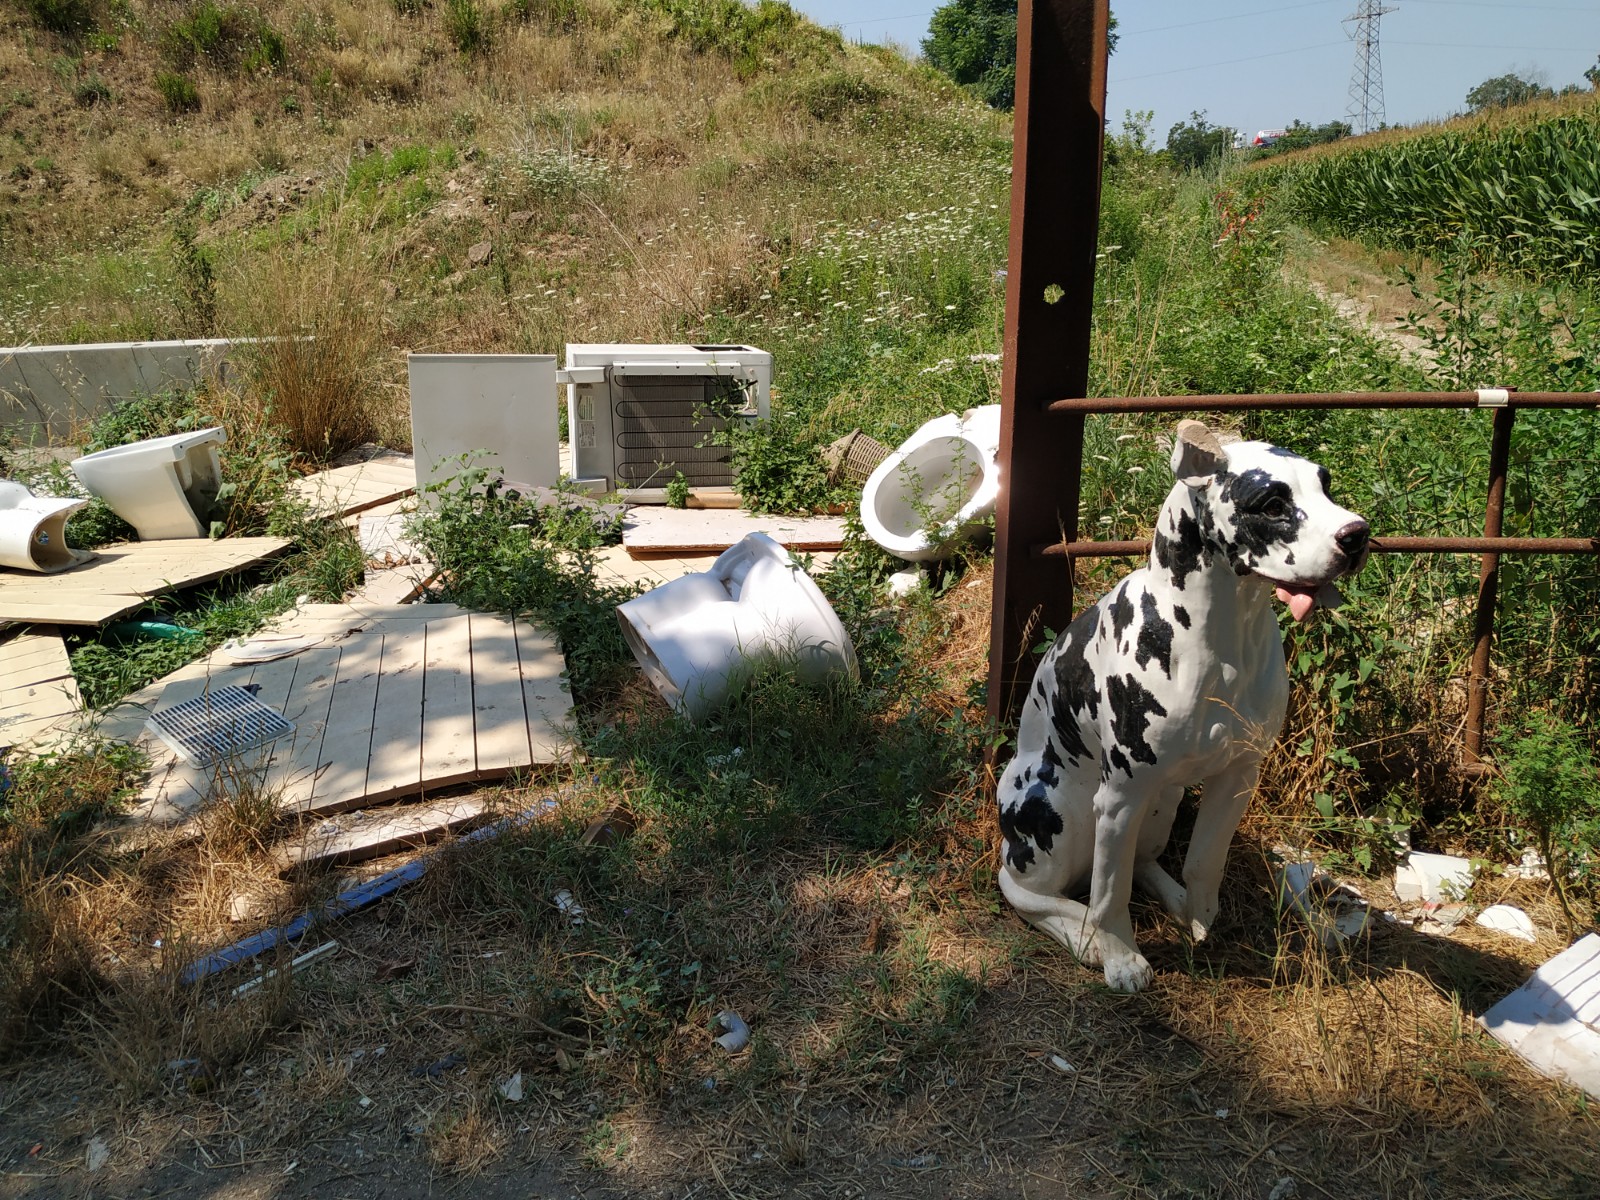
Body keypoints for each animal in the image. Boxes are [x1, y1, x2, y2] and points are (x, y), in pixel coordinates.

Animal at [996, 420, 1370, 992]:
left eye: (1325, 485)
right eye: (1272, 502)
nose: (1357, 534)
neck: (1224, 638)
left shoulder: (1237, 777)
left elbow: (1203, 862)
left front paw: (1199, 913)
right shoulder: (1120, 798)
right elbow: (1109, 897)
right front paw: (1121, 958)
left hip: (1163, 800)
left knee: (1142, 864)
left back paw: (1171, 900)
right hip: (1054, 811)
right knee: (1025, 888)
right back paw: (1079, 933)